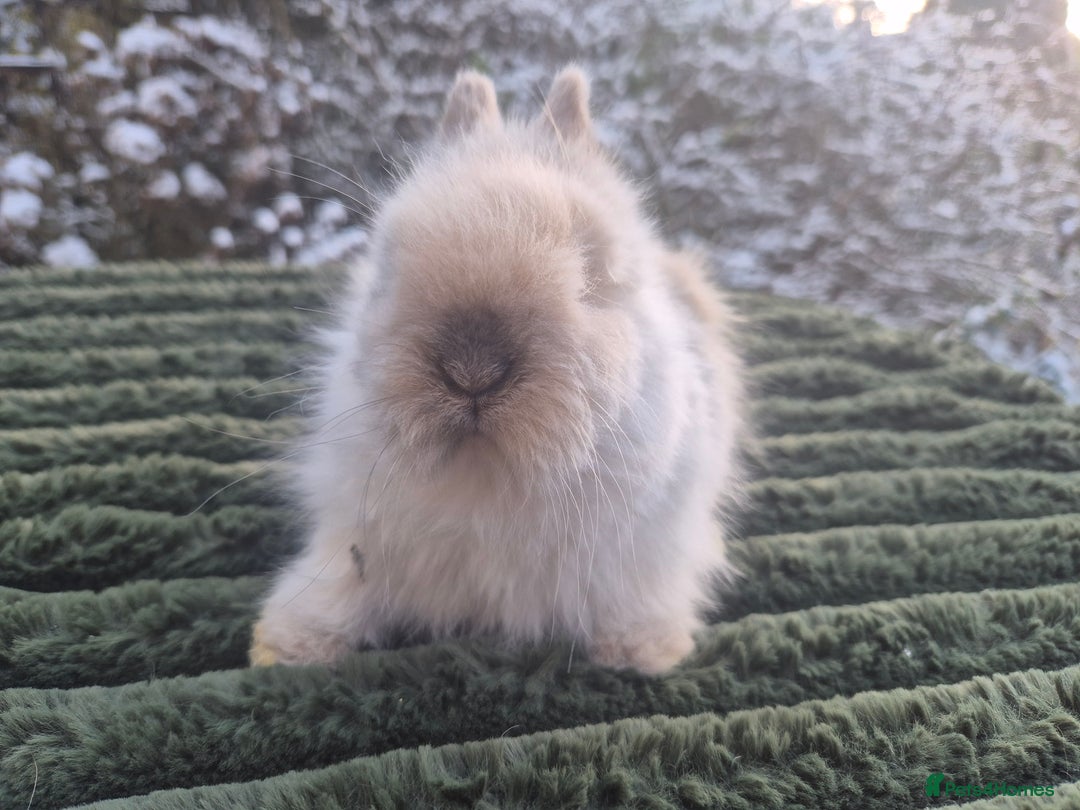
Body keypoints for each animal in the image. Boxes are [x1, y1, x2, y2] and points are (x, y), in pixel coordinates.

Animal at [249, 66, 745, 674]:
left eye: (591, 269)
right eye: (388, 264)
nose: (473, 372)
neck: (485, 480)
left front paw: (641, 650)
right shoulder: (355, 532)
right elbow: (343, 582)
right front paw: (288, 644)